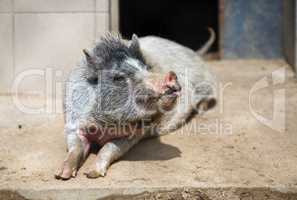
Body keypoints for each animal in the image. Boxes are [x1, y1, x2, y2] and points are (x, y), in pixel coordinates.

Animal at [55, 30, 215, 180]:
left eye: (147, 68)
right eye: (118, 78)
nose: (171, 75)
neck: (104, 124)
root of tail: (191, 51)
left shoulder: (132, 136)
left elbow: (108, 148)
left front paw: (92, 174)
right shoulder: (73, 123)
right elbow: (75, 147)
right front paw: (61, 175)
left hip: (206, 82)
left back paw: (202, 109)